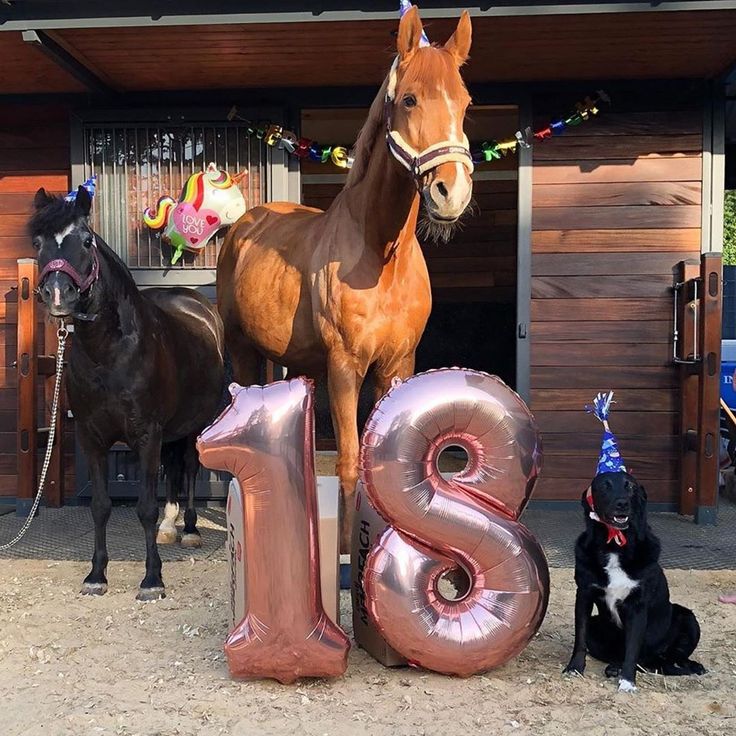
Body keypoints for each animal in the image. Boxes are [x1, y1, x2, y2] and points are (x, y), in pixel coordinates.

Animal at [29, 187, 224, 600]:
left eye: (86, 241)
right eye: (38, 242)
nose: (58, 295)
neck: (110, 352)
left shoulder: (146, 433)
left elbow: (145, 507)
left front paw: (152, 580)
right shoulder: (91, 437)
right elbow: (101, 506)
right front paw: (96, 575)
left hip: (195, 424)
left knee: (189, 466)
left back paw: (190, 528)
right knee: (172, 468)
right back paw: (170, 526)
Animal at [216, 4, 474, 548]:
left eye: (464, 102)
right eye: (409, 98)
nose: (451, 192)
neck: (382, 254)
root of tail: (244, 225)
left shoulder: (398, 364)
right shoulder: (344, 367)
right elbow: (352, 463)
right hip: (244, 351)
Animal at [568, 472, 704, 688]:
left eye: (630, 486)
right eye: (605, 486)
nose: (622, 503)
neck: (614, 547)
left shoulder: (637, 606)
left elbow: (632, 648)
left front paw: (627, 682)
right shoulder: (584, 594)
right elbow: (580, 637)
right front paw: (574, 668)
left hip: (687, 619)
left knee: (669, 657)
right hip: (596, 628)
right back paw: (615, 666)